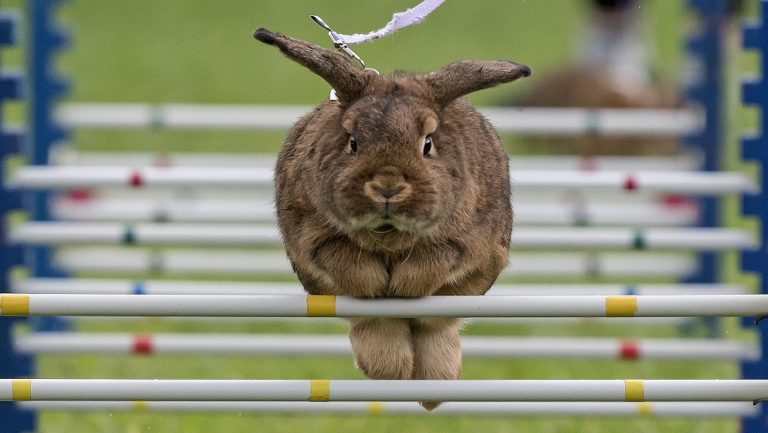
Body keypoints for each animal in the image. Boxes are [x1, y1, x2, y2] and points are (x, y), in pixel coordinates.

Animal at [255, 27, 532, 408]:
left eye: (427, 144)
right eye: (352, 142)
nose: (387, 186)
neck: (388, 236)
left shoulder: (474, 241)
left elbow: (436, 260)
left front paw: (401, 286)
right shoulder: (310, 237)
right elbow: (347, 263)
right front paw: (380, 287)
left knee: (437, 329)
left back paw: (433, 389)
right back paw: (394, 372)